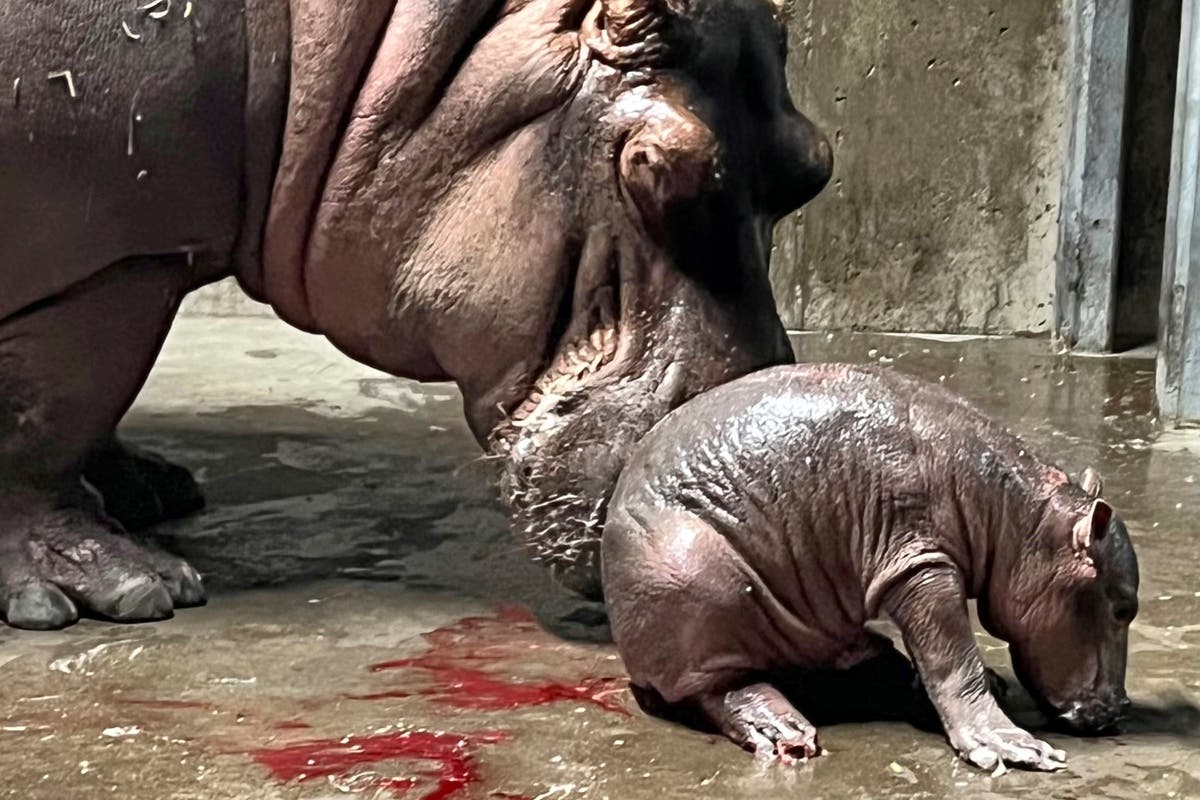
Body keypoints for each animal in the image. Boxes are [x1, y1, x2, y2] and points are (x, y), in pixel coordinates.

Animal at [0, 0, 832, 630]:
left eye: (814, 164)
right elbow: (47, 416)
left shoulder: (153, 248)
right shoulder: (116, 260)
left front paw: (146, 487)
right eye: (656, 166)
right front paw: (120, 592)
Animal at [603, 364, 1139, 772]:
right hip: (695, 580)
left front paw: (990, 687)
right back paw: (784, 732)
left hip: (814, 627)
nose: (1121, 708)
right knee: (719, 686)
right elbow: (951, 656)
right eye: (1123, 609)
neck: (1022, 518)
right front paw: (1014, 747)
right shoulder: (919, 564)